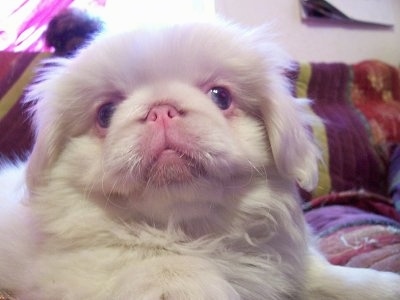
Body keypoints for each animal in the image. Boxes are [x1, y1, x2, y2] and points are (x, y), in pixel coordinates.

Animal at [0, 20, 400, 300]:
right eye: (105, 113)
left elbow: (334, 277)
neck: (187, 230)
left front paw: (382, 285)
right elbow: (168, 268)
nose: (160, 109)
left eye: (220, 96)